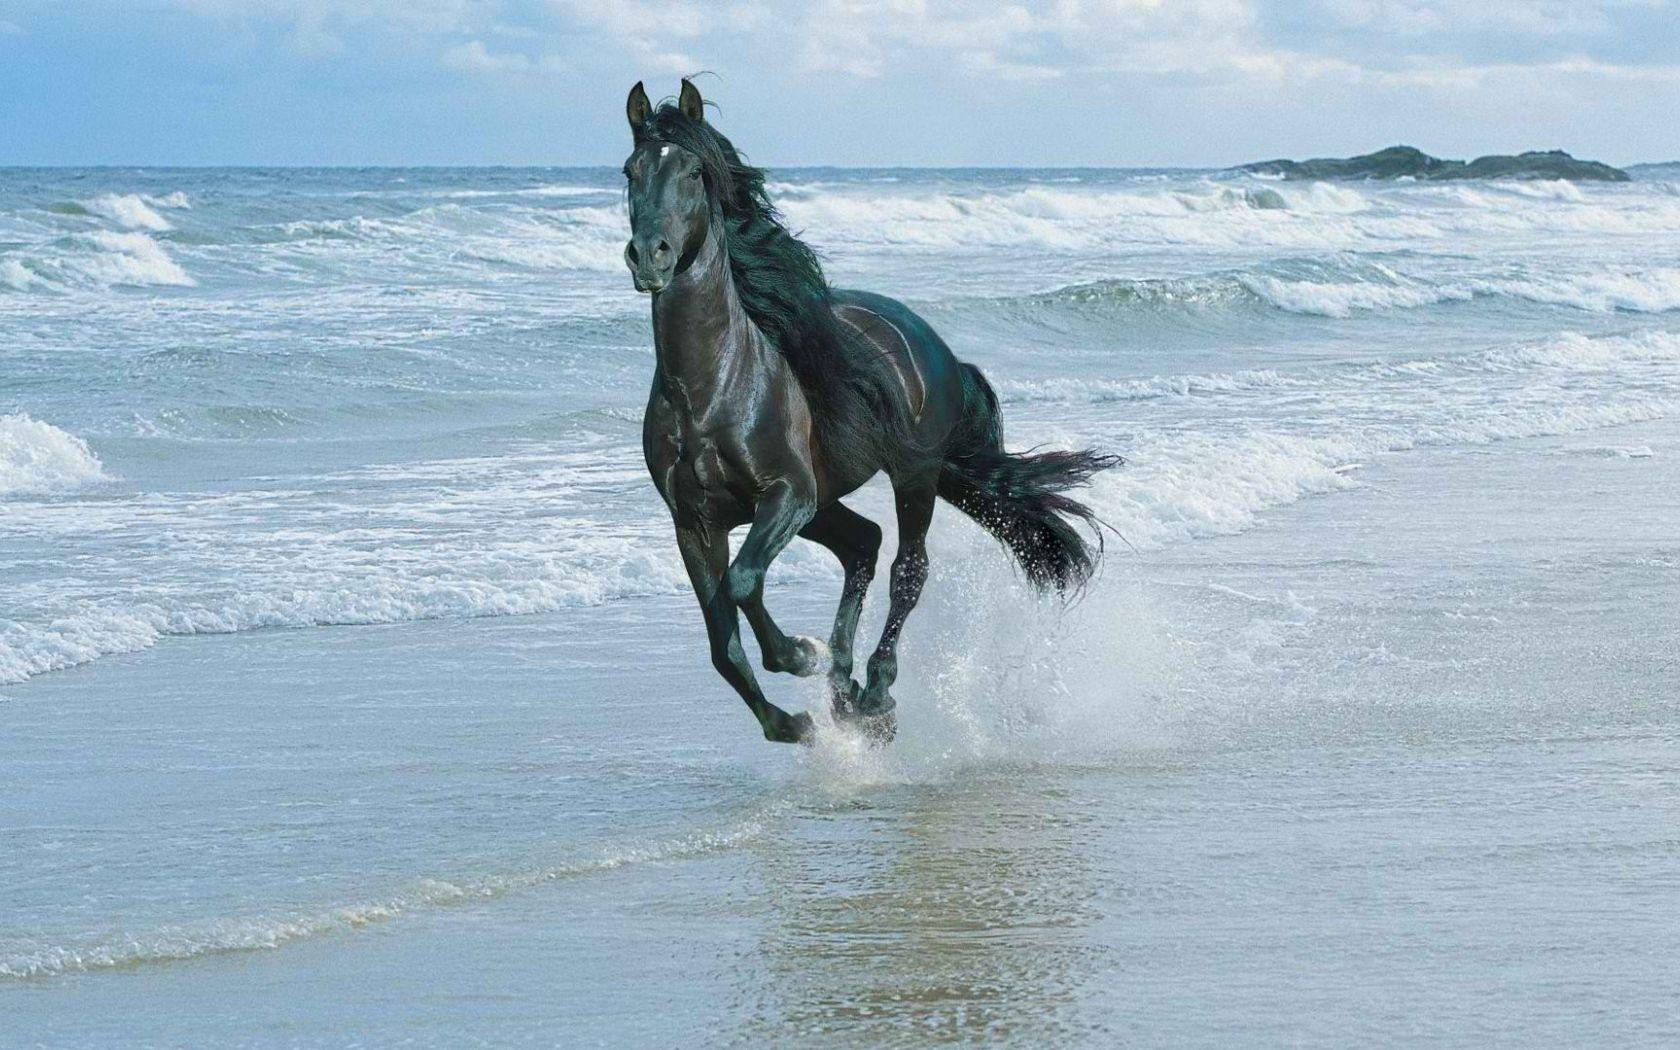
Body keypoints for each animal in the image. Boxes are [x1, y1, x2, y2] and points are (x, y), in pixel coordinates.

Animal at [622, 79, 1119, 745]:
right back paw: (845, 690)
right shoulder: (694, 523)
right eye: (630, 171)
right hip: (828, 502)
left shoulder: (787, 494)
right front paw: (793, 721)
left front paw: (799, 654)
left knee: (908, 568)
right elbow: (722, 644)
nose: (649, 255)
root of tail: (934, 345)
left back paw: (874, 690)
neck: (712, 389)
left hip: (911, 476)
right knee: (863, 544)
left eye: (695, 172)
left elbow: (745, 583)